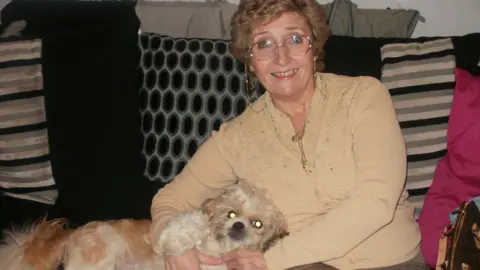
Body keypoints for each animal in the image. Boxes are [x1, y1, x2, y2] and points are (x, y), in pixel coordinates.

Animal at [0, 180, 288, 268]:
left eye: (257, 224)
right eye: (231, 215)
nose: (239, 227)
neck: (217, 251)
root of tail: (72, 233)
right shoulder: (191, 223)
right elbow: (185, 226)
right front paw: (171, 243)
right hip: (101, 255)